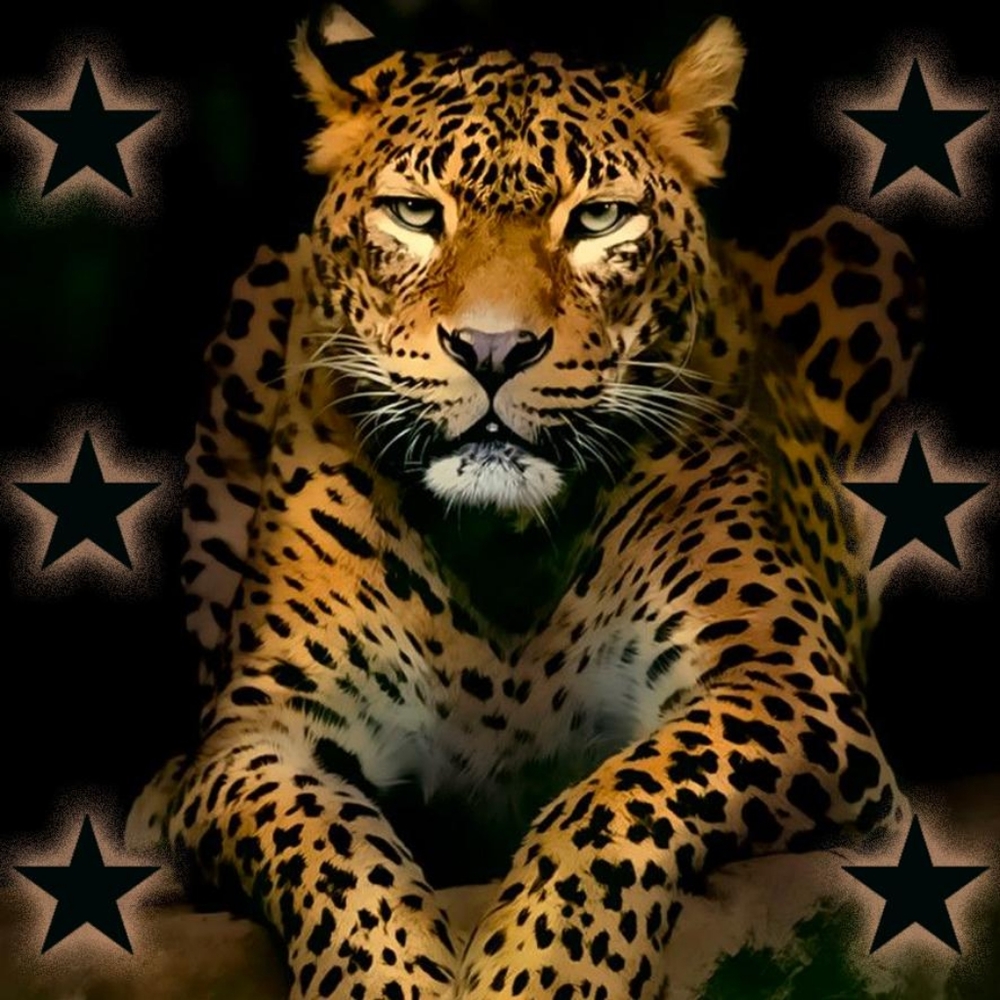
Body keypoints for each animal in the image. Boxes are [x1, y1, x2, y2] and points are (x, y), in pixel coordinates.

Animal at [127, 7, 926, 999]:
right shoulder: (263, 734)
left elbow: (624, 797)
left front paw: (544, 973)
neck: (501, 547)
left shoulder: (785, 682)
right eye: (416, 214)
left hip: (872, 250)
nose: (493, 349)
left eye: (598, 219)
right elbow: (327, 844)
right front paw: (386, 979)